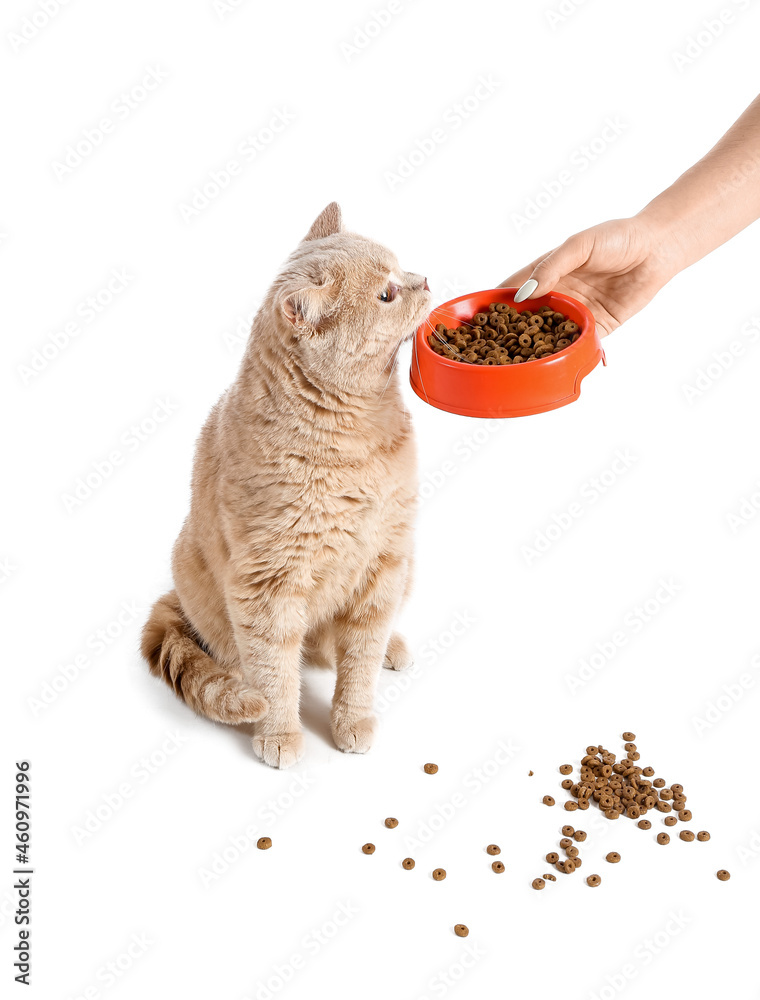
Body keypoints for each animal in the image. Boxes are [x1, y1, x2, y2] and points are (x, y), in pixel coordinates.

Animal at [140, 201, 430, 764]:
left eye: (401, 268)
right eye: (386, 294)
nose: (424, 279)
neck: (356, 439)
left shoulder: (384, 562)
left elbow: (360, 657)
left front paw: (353, 719)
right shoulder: (267, 586)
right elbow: (275, 673)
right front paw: (278, 733)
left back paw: (393, 646)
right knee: (258, 658)